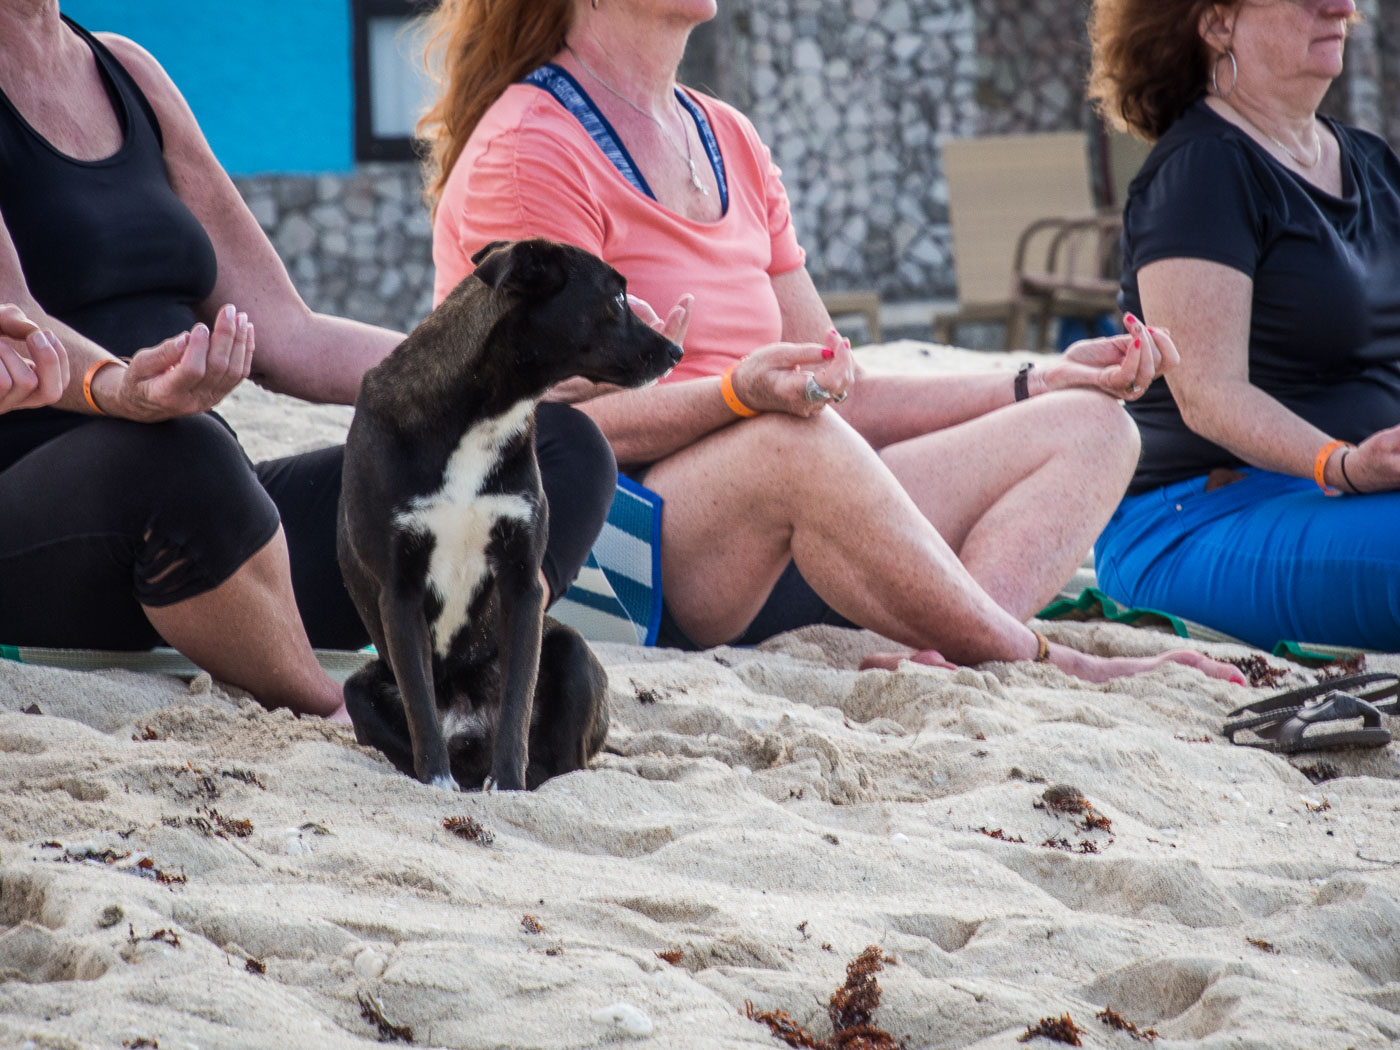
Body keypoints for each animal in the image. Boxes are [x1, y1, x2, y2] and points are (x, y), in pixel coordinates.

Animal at [336, 238, 682, 791]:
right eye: (617, 298)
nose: (677, 352)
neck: (481, 414)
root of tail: (469, 721)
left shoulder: (522, 582)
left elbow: (518, 703)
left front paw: (508, 788)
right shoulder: (399, 590)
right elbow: (422, 711)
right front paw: (438, 783)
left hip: (572, 651)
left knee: (559, 760)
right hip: (360, 688)